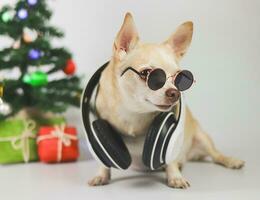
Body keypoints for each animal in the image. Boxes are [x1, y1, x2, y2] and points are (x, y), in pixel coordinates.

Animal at [88, 13, 245, 188]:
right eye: (147, 74)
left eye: (179, 78)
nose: (175, 93)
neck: (134, 112)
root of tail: (191, 154)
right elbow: (102, 158)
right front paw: (101, 175)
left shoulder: (172, 137)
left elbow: (170, 158)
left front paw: (175, 177)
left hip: (202, 137)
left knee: (215, 154)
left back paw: (230, 160)